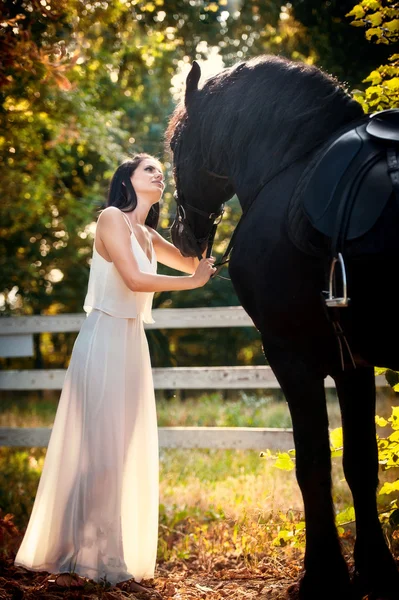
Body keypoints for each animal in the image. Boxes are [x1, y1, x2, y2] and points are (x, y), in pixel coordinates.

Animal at [166, 54, 399, 596]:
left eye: (175, 144)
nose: (182, 234)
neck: (291, 166)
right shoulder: (352, 363)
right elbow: (359, 463)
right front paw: (375, 571)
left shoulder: (291, 356)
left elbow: (312, 464)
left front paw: (323, 575)